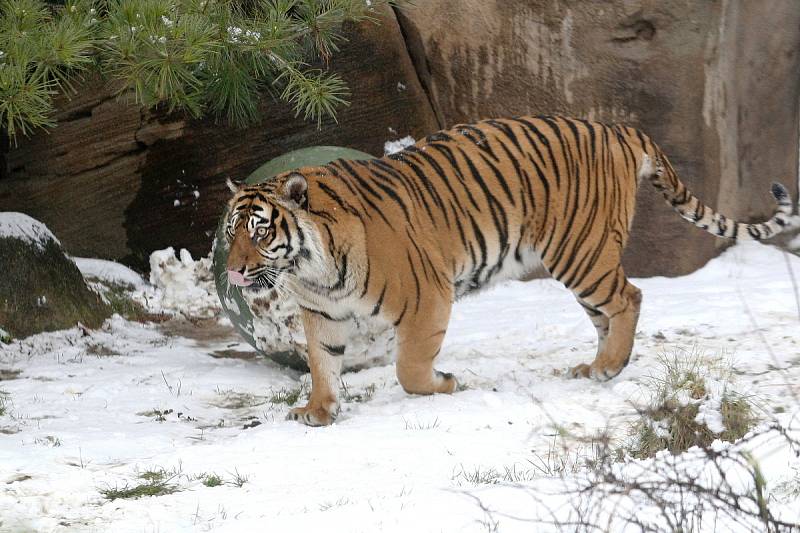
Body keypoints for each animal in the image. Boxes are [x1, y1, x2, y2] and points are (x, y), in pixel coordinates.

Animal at [222, 115, 796, 424]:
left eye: (260, 231)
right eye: (230, 233)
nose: (232, 274)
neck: (311, 268)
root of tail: (617, 128)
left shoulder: (427, 299)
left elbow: (409, 369)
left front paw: (445, 383)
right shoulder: (323, 316)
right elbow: (323, 366)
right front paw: (318, 412)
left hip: (581, 253)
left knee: (630, 297)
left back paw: (609, 367)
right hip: (585, 263)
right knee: (608, 314)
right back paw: (600, 367)